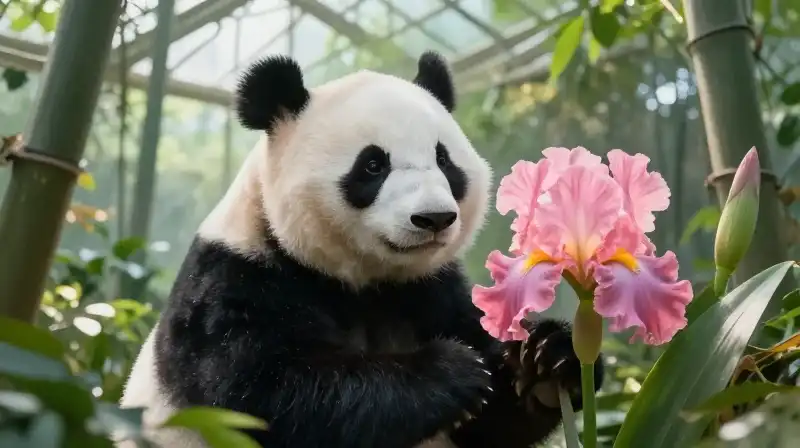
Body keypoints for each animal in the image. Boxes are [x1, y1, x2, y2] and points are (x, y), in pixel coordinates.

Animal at [119, 50, 604, 448]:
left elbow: (491, 426)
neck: (362, 279)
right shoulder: (233, 283)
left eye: (444, 160)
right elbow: (272, 394)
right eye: (373, 165)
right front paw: (450, 373)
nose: (433, 218)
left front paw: (547, 360)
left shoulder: (431, 290)